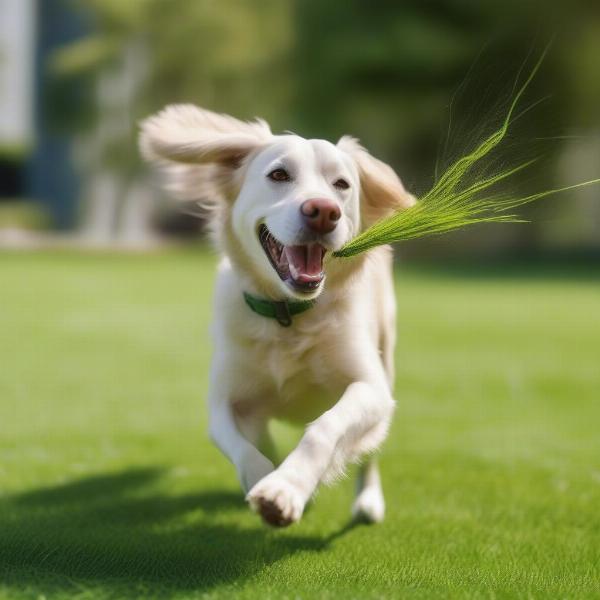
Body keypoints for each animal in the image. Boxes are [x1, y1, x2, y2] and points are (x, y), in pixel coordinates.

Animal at [139, 105, 414, 528]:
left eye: (341, 184)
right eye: (279, 175)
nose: (323, 212)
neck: (289, 315)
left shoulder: (371, 388)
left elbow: (324, 428)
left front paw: (286, 488)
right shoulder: (225, 401)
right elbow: (245, 447)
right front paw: (267, 479)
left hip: (387, 354)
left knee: (370, 453)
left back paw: (368, 500)